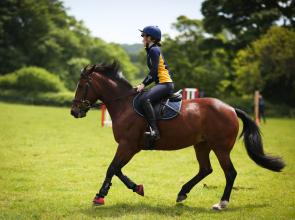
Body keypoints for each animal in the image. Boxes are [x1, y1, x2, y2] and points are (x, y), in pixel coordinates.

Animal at [70, 61, 286, 210]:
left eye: (81, 85)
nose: (74, 111)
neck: (125, 104)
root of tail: (231, 108)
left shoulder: (127, 145)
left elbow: (112, 168)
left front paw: (100, 196)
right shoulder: (130, 147)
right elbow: (118, 170)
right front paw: (137, 187)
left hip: (221, 148)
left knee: (230, 173)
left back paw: (221, 203)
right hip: (202, 145)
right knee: (205, 169)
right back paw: (182, 193)